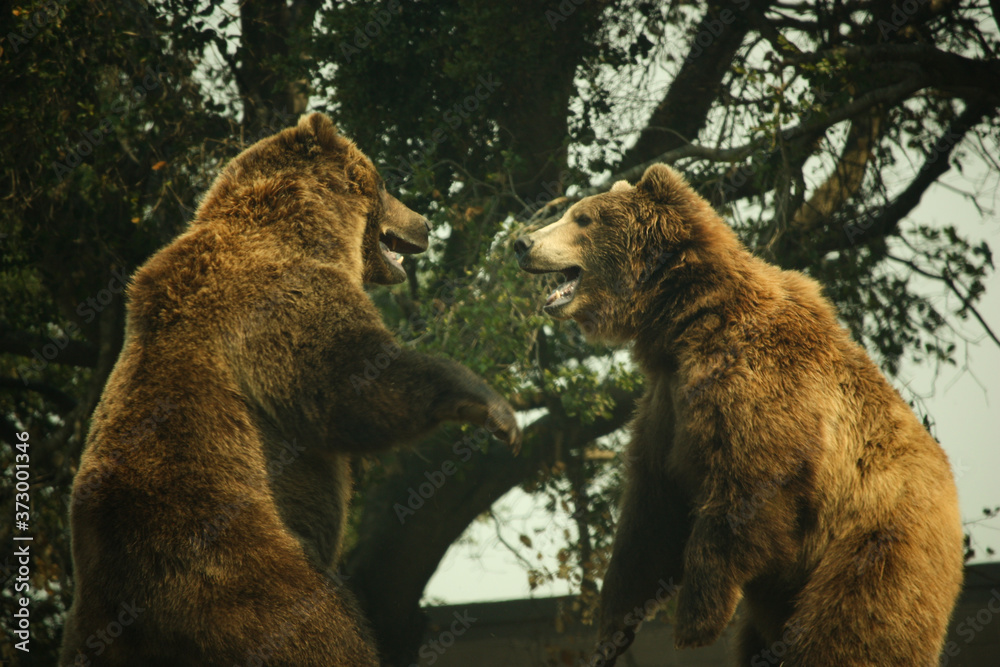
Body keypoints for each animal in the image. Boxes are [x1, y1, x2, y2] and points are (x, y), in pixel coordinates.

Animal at [59, 112, 521, 667]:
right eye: (383, 183)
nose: (425, 223)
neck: (308, 229)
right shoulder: (278, 297)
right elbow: (349, 381)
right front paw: (489, 405)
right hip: (237, 565)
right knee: (322, 633)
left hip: (97, 626)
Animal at [515, 164, 963, 666]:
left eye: (583, 218)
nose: (523, 242)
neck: (683, 321)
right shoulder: (666, 405)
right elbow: (650, 515)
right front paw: (613, 625)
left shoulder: (759, 389)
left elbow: (747, 492)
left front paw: (695, 622)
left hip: (872, 548)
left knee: (849, 633)